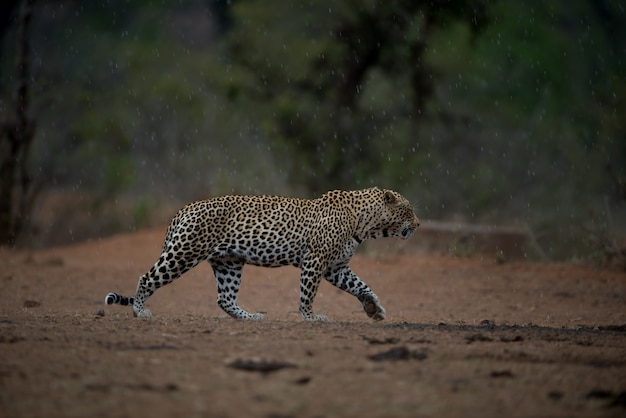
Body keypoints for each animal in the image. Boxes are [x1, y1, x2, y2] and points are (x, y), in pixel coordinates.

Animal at [105, 188, 420, 322]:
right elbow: (308, 292)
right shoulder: (315, 260)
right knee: (147, 277)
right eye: (409, 210)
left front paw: (374, 308)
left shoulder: (336, 267)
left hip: (229, 262)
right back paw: (140, 311)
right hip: (185, 252)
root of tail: (185, 208)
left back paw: (250, 317)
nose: (418, 224)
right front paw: (310, 316)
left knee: (224, 298)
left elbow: (361, 285)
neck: (365, 222)